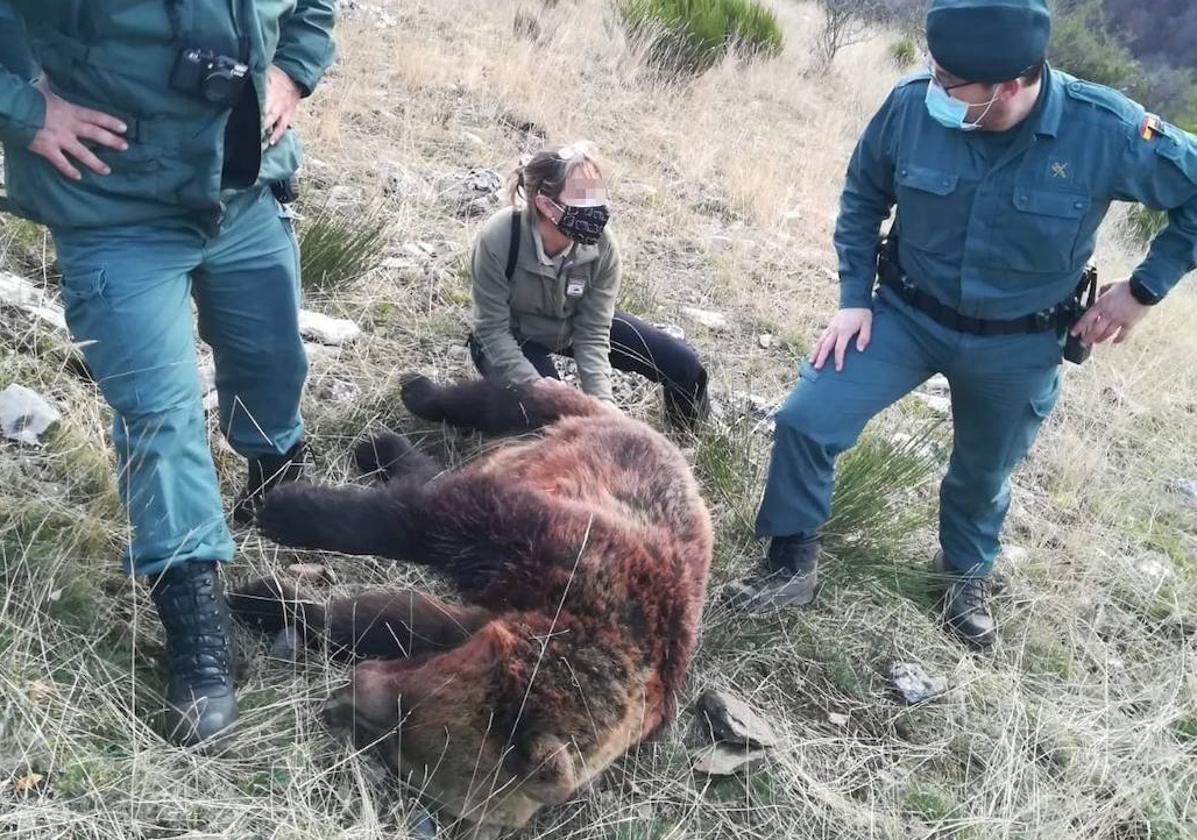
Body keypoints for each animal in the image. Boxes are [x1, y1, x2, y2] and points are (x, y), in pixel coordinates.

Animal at [231, 375, 708, 837]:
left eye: (393, 751)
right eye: (406, 711)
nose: (336, 704)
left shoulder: (483, 621)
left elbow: (394, 619)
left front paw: (270, 603)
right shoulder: (567, 553)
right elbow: (439, 520)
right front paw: (287, 511)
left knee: (441, 471)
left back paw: (386, 452)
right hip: (575, 430)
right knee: (504, 404)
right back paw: (407, 406)